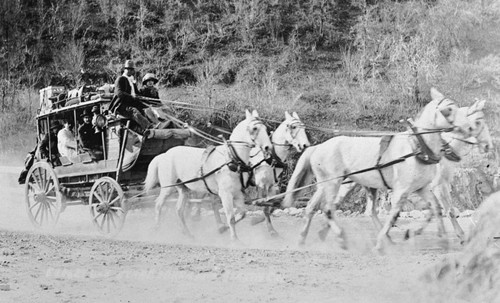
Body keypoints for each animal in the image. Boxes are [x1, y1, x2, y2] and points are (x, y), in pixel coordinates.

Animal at [145, 110, 270, 241]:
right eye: (255, 128)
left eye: (265, 128)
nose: (267, 147)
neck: (231, 159)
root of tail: (164, 155)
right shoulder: (225, 194)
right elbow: (230, 218)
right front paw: (234, 239)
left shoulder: (237, 193)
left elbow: (242, 213)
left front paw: (223, 228)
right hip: (168, 188)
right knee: (158, 205)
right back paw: (157, 229)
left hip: (183, 188)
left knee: (179, 210)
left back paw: (187, 233)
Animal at [284, 88, 474, 252]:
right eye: (448, 110)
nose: (469, 128)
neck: (417, 147)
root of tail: (317, 147)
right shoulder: (402, 191)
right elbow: (394, 215)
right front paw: (381, 243)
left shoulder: (422, 188)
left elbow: (435, 209)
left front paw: (440, 239)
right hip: (334, 182)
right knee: (328, 209)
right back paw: (341, 238)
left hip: (336, 184)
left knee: (314, 207)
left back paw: (303, 239)